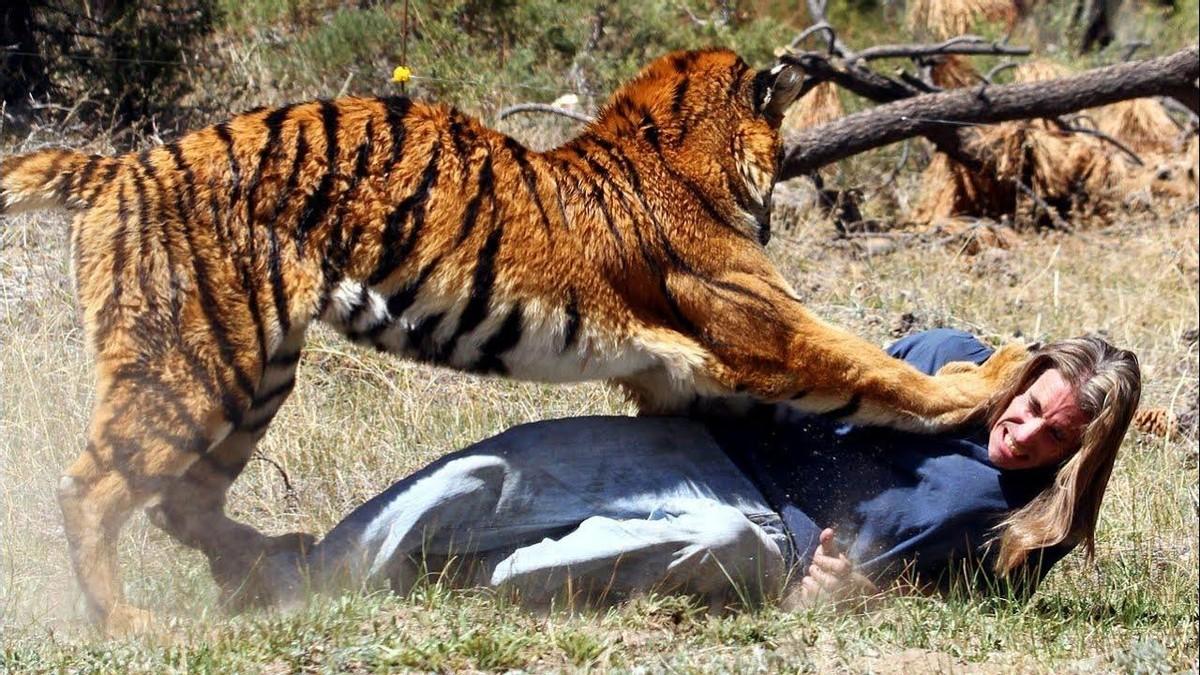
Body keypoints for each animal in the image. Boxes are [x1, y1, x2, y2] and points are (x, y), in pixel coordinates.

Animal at [0, 48, 1028, 633]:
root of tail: (117, 167)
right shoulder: (762, 329)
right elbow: (875, 369)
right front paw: (995, 372)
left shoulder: (687, 373)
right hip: (196, 361)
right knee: (93, 489)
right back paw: (127, 620)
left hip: (254, 375)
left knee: (181, 499)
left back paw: (262, 564)